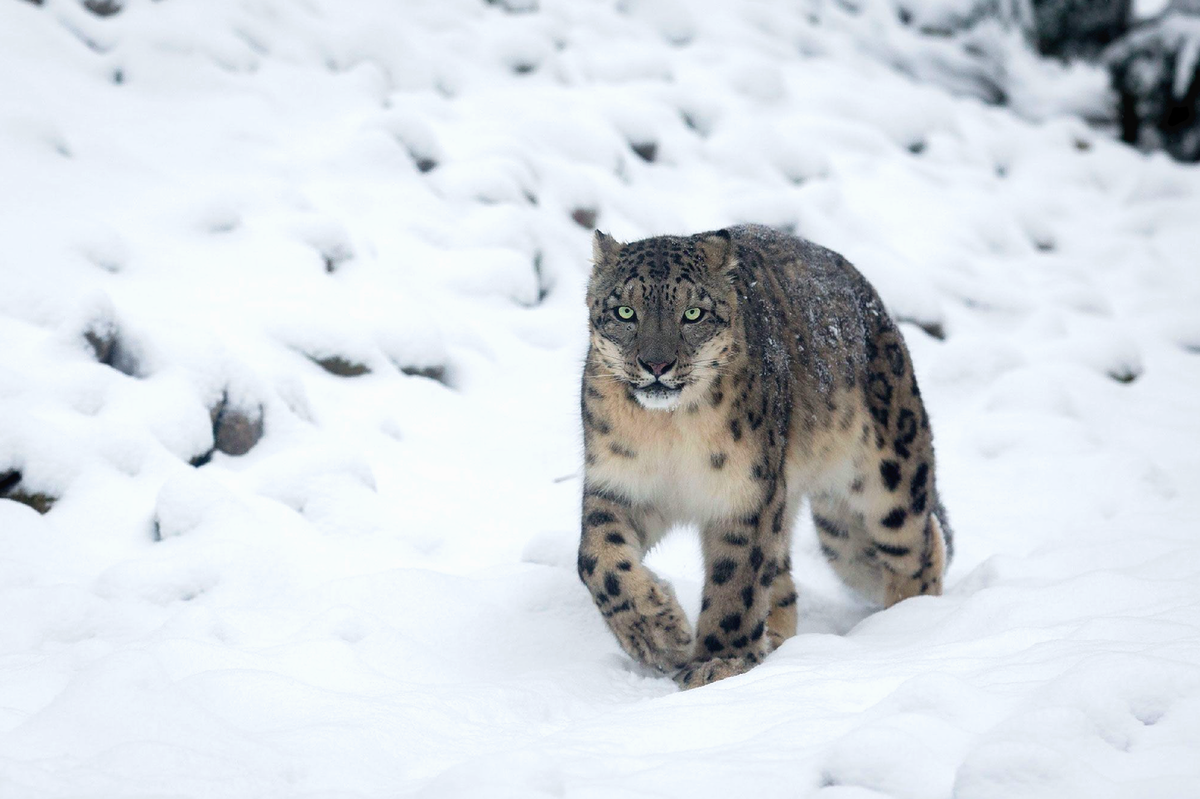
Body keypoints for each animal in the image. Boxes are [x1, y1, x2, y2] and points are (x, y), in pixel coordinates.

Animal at [576, 224, 950, 686]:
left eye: (693, 314)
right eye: (625, 312)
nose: (657, 364)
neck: (667, 431)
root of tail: (874, 303)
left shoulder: (746, 495)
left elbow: (736, 581)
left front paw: (719, 662)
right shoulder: (619, 485)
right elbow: (597, 560)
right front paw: (658, 634)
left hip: (888, 476)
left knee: (917, 547)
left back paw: (911, 627)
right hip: (840, 534)